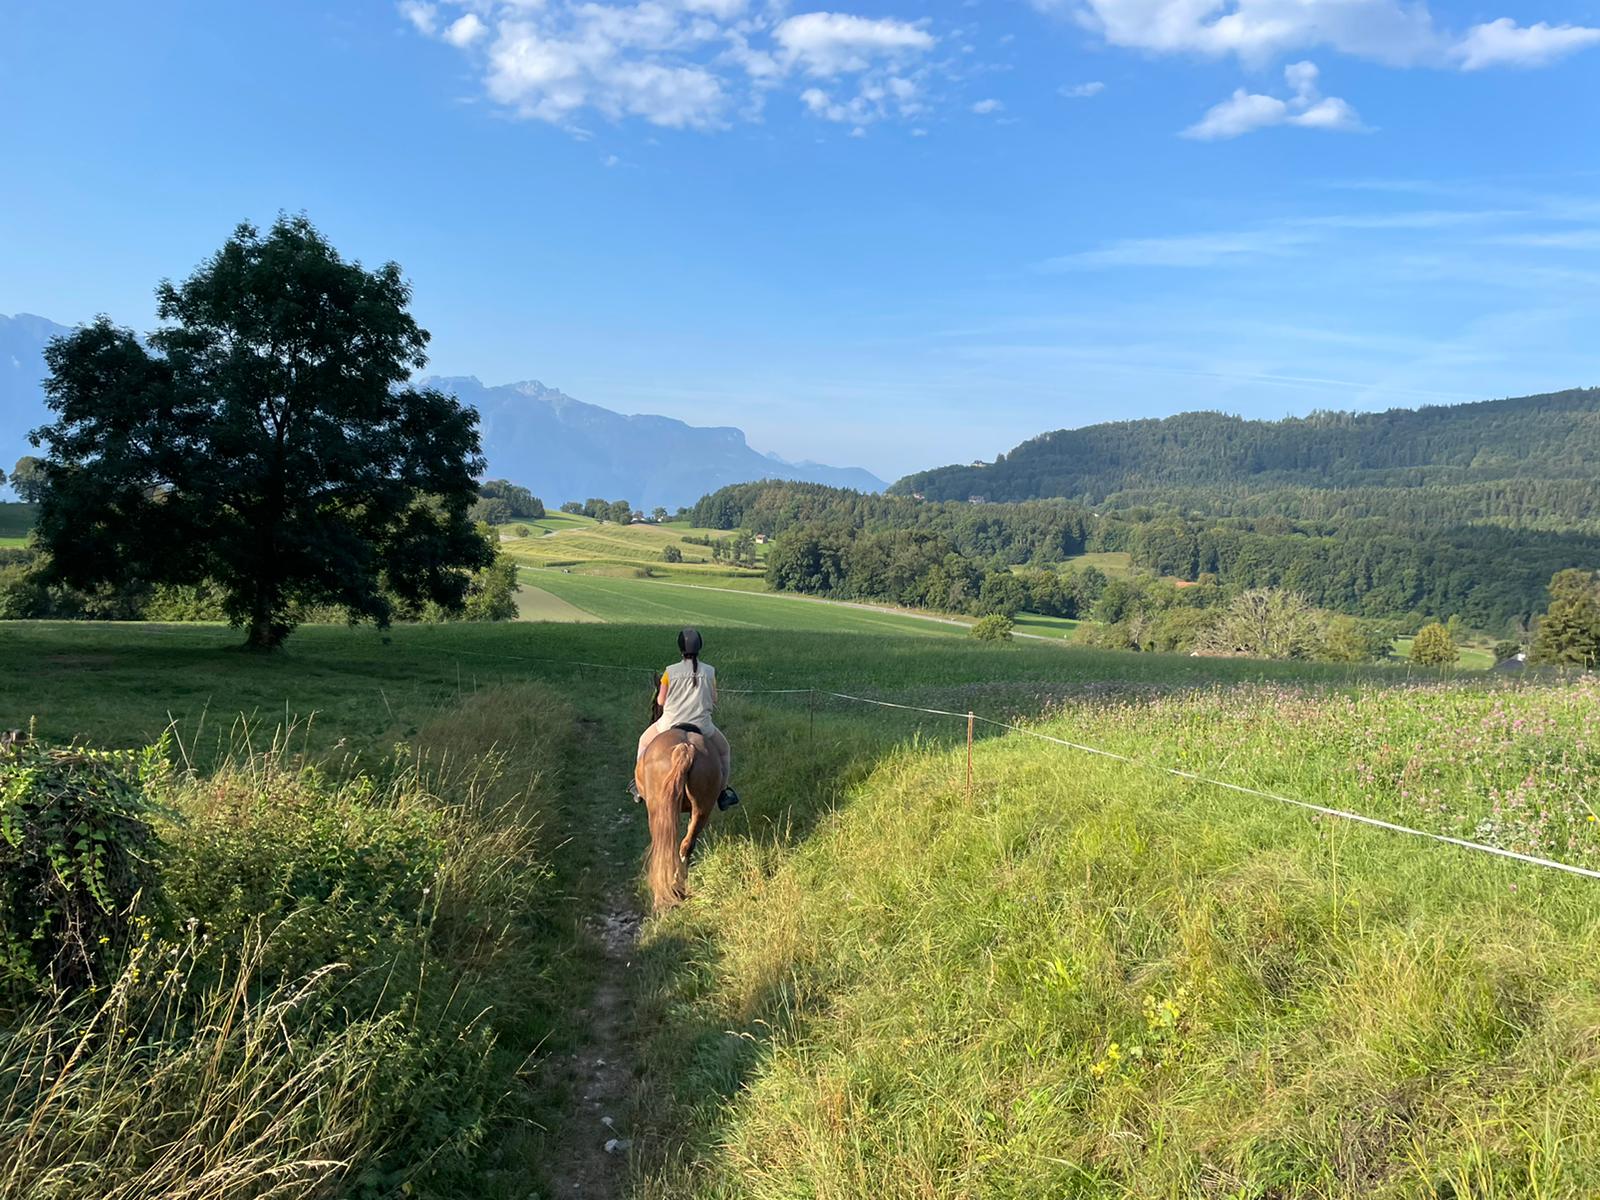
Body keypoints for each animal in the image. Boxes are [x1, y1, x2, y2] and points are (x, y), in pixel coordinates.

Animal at [637, 723, 727, 911]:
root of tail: (685, 748)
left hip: (659, 810)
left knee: (664, 849)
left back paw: (663, 896)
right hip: (702, 808)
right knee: (686, 844)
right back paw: (679, 888)